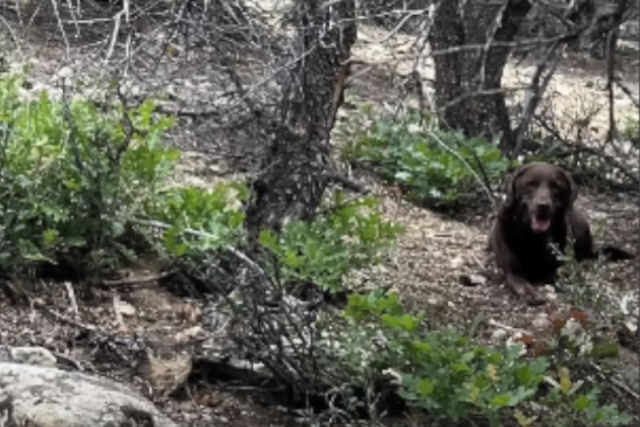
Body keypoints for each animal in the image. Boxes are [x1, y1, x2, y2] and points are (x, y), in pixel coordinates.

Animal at [490, 162, 636, 306]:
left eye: (556, 186)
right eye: (531, 184)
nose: (543, 206)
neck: (535, 236)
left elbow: (562, 269)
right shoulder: (513, 273)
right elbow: (523, 285)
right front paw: (533, 295)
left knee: (585, 255)